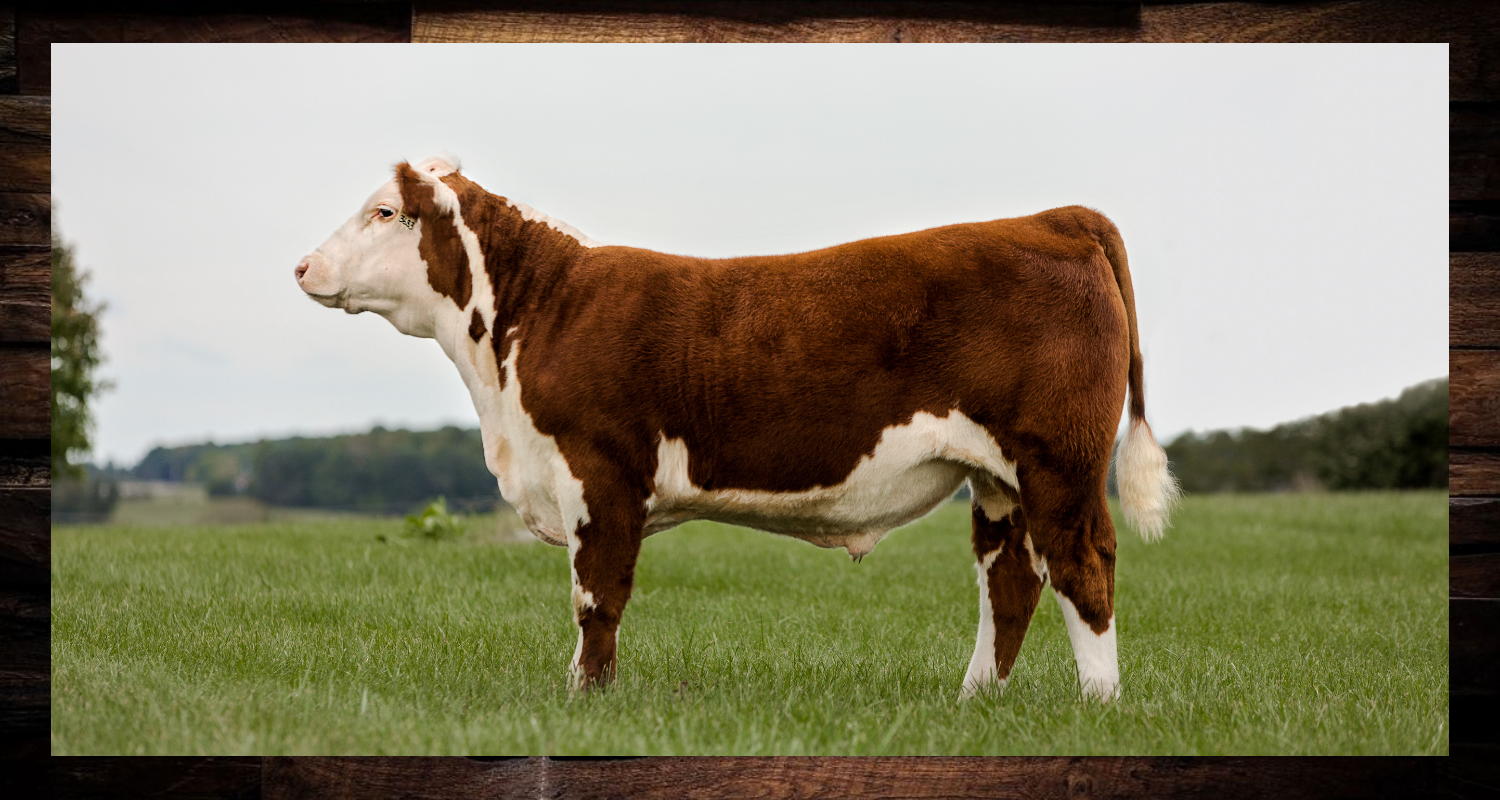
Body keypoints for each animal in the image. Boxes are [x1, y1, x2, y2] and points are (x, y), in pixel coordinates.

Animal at [295, 155, 1179, 702]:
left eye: (383, 210)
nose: (303, 265)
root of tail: (1052, 217)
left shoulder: (600, 472)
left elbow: (597, 597)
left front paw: (584, 698)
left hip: (1058, 461)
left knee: (1083, 567)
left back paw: (1098, 705)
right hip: (999, 480)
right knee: (1011, 581)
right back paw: (972, 703)